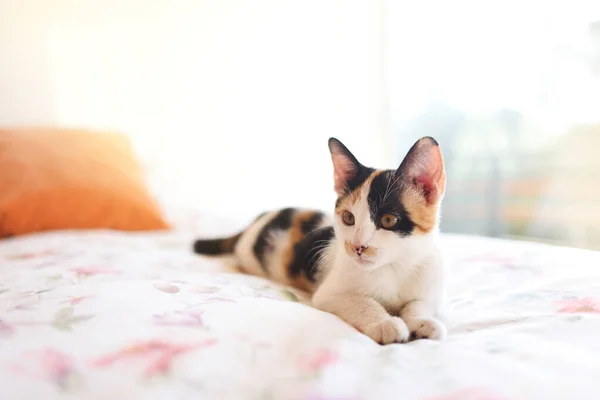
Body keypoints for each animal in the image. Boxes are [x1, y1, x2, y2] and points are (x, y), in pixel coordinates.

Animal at [192, 138, 446, 344]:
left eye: (388, 220)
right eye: (348, 217)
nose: (358, 247)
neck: (394, 266)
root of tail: (255, 222)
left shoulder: (428, 281)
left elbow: (419, 303)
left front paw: (423, 321)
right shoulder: (329, 294)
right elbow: (362, 302)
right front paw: (385, 323)